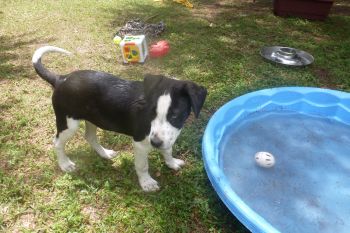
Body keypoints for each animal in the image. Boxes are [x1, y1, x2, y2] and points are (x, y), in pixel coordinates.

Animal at [31, 45, 206, 191]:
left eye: (175, 115)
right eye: (151, 114)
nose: (155, 143)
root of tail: (61, 79)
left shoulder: (165, 138)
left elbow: (168, 150)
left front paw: (172, 163)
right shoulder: (140, 143)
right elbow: (142, 165)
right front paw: (146, 183)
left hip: (92, 118)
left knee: (89, 137)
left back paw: (105, 154)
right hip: (68, 122)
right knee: (57, 142)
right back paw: (65, 164)